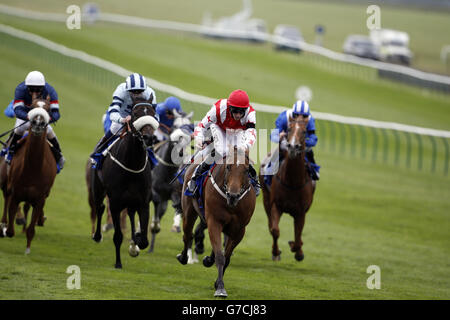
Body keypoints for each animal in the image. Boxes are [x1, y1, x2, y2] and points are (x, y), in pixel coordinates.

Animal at [0, 97, 56, 252]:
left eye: (48, 109)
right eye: (31, 107)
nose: (38, 122)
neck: (33, 169)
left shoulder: (40, 197)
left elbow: (31, 228)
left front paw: (28, 249)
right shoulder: (16, 192)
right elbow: (11, 228)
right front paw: (9, 227)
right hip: (5, 183)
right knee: (6, 199)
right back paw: (4, 224)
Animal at [87, 97, 159, 268]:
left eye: (153, 113)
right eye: (135, 113)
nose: (149, 138)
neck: (132, 165)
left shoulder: (143, 202)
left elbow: (144, 240)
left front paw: (135, 243)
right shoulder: (115, 203)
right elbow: (118, 236)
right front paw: (118, 263)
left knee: (131, 214)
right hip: (98, 189)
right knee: (99, 207)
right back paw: (97, 236)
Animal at [177, 145, 255, 298]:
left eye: (246, 170)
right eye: (228, 167)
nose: (233, 196)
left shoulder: (239, 230)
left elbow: (227, 257)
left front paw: (217, 282)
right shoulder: (214, 221)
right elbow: (220, 256)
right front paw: (220, 288)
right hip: (189, 211)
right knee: (187, 234)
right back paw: (183, 257)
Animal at [258, 116, 314, 262]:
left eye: (304, 132)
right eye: (289, 129)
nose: (293, 146)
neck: (292, 182)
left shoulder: (301, 212)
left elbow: (298, 235)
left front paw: (298, 250)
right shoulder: (276, 205)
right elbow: (275, 230)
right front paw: (276, 252)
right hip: (266, 199)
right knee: (270, 225)